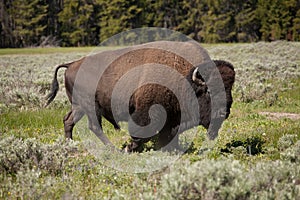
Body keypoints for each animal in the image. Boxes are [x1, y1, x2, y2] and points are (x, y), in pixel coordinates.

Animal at [45, 41, 236, 152]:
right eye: (208, 91)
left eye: (230, 89)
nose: (223, 113)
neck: (186, 77)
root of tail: (72, 65)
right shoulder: (147, 111)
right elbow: (142, 132)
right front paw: (131, 148)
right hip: (90, 107)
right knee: (94, 126)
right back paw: (114, 149)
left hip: (78, 107)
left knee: (68, 120)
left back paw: (69, 144)